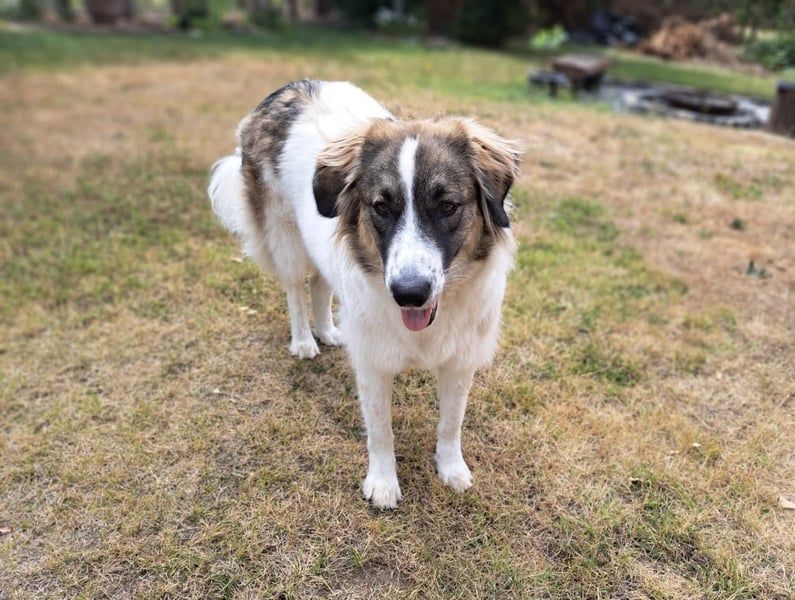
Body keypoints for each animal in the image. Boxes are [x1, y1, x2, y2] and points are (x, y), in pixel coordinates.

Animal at [208, 80, 521, 508]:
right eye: (381, 207)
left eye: (446, 206)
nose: (409, 294)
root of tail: (288, 88)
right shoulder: (374, 363)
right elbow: (380, 429)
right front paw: (383, 483)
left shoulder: (460, 359)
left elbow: (451, 423)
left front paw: (451, 469)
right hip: (285, 238)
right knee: (295, 290)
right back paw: (304, 340)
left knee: (320, 284)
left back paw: (328, 331)